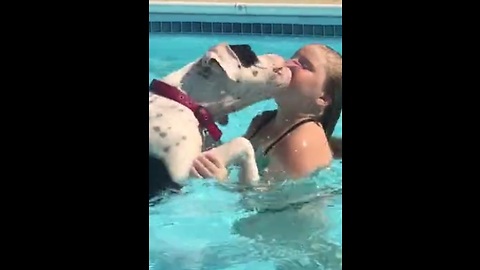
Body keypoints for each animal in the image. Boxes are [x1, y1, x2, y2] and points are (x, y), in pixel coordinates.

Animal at [150, 43, 290, 199]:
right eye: (250, 53)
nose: (278, 55)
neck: (185, 100)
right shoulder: (183, 173)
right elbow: (243, 143)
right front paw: (252, 180)